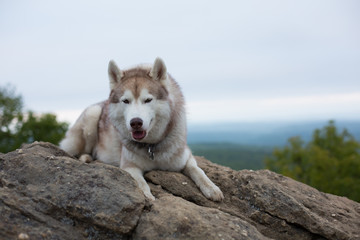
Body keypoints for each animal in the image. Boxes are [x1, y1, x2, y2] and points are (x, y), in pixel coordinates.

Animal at [60, 57, 224, 201]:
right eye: (126, 101)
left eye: (148, 100)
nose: (136, 123)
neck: (152, 147)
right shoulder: (129, 166)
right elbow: (141, 183)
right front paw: (147, 196)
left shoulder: (186, 158)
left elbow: (198, 170)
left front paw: (212, 188)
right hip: (92, 115)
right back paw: (86, 157)